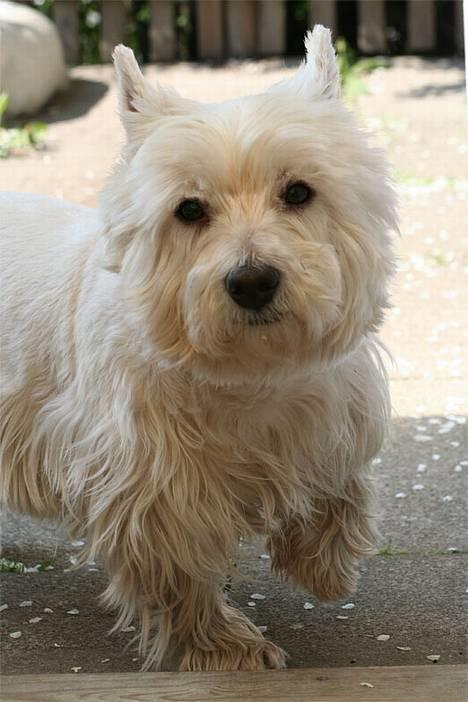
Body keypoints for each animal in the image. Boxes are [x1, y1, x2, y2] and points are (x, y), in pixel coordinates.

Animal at [0, 26, 396, 672]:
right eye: (188, 209)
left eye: (299, 192)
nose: (252, 281)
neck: (246, 377)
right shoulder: (149, 479)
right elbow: (179, 570)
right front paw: (226, 647)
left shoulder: (330, 408)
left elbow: (339, 487)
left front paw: (323, 566)